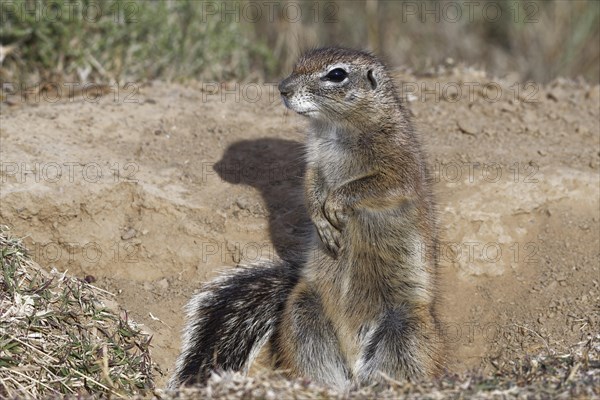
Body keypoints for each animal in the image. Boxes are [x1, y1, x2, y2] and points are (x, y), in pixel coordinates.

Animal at [168, 47, 440, 390]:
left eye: (336, 74)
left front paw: (336, 203)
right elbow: (310, 187)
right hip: (303, 312)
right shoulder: (314, 161)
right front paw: (321, 221)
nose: (283, 88)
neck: (335, 127)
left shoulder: (398, 163)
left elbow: (376, 185)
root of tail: (352, 360)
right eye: (298, 63)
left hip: (406, 329)